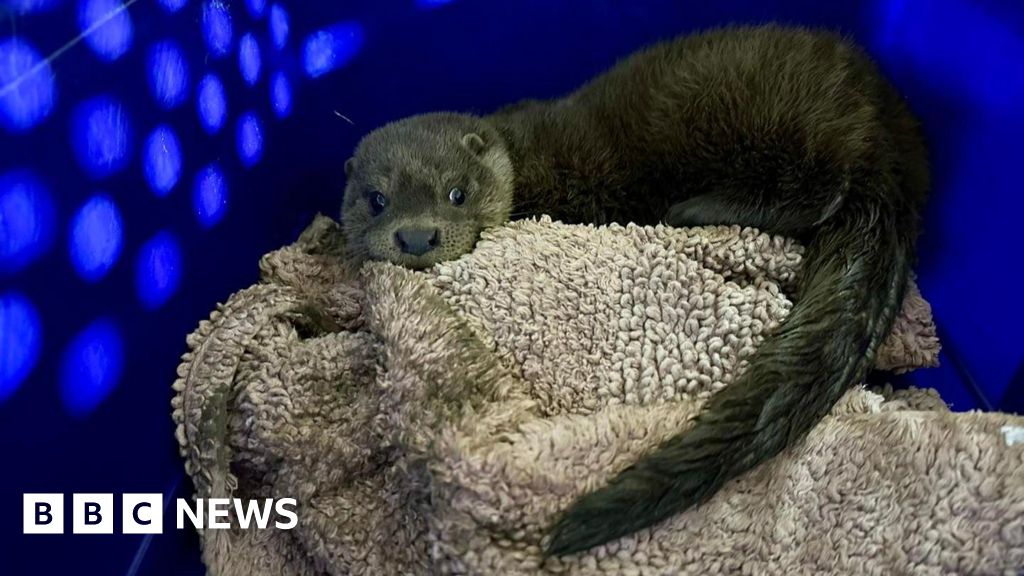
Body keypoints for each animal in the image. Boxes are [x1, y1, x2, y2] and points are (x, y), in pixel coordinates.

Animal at [342, 24, 929, 553]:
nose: (417, 236)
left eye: (456, 192)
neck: (521, 151)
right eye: (376, 199)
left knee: (821, 190)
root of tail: (894, 132)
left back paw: (691, 210)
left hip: (790, 120)